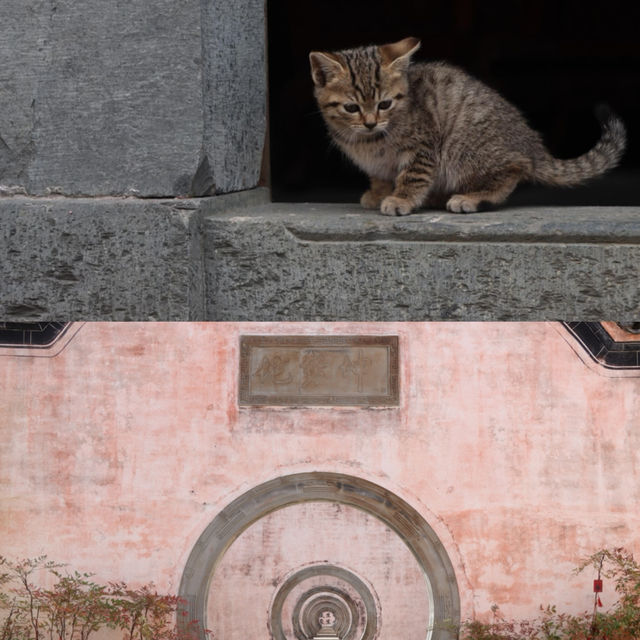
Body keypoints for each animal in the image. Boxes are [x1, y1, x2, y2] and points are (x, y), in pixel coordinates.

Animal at [308, 38, 624, 216]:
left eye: (385, 104)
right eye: (352, 108)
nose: (371, 122)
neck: (369, 141)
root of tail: (532, 147)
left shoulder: (423, 147)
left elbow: (412, 175)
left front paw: (401, 199)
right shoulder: (377, 162)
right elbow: (380, 176)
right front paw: (379, 192)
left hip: (467, 148)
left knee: (513, 170)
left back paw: (472, 198)